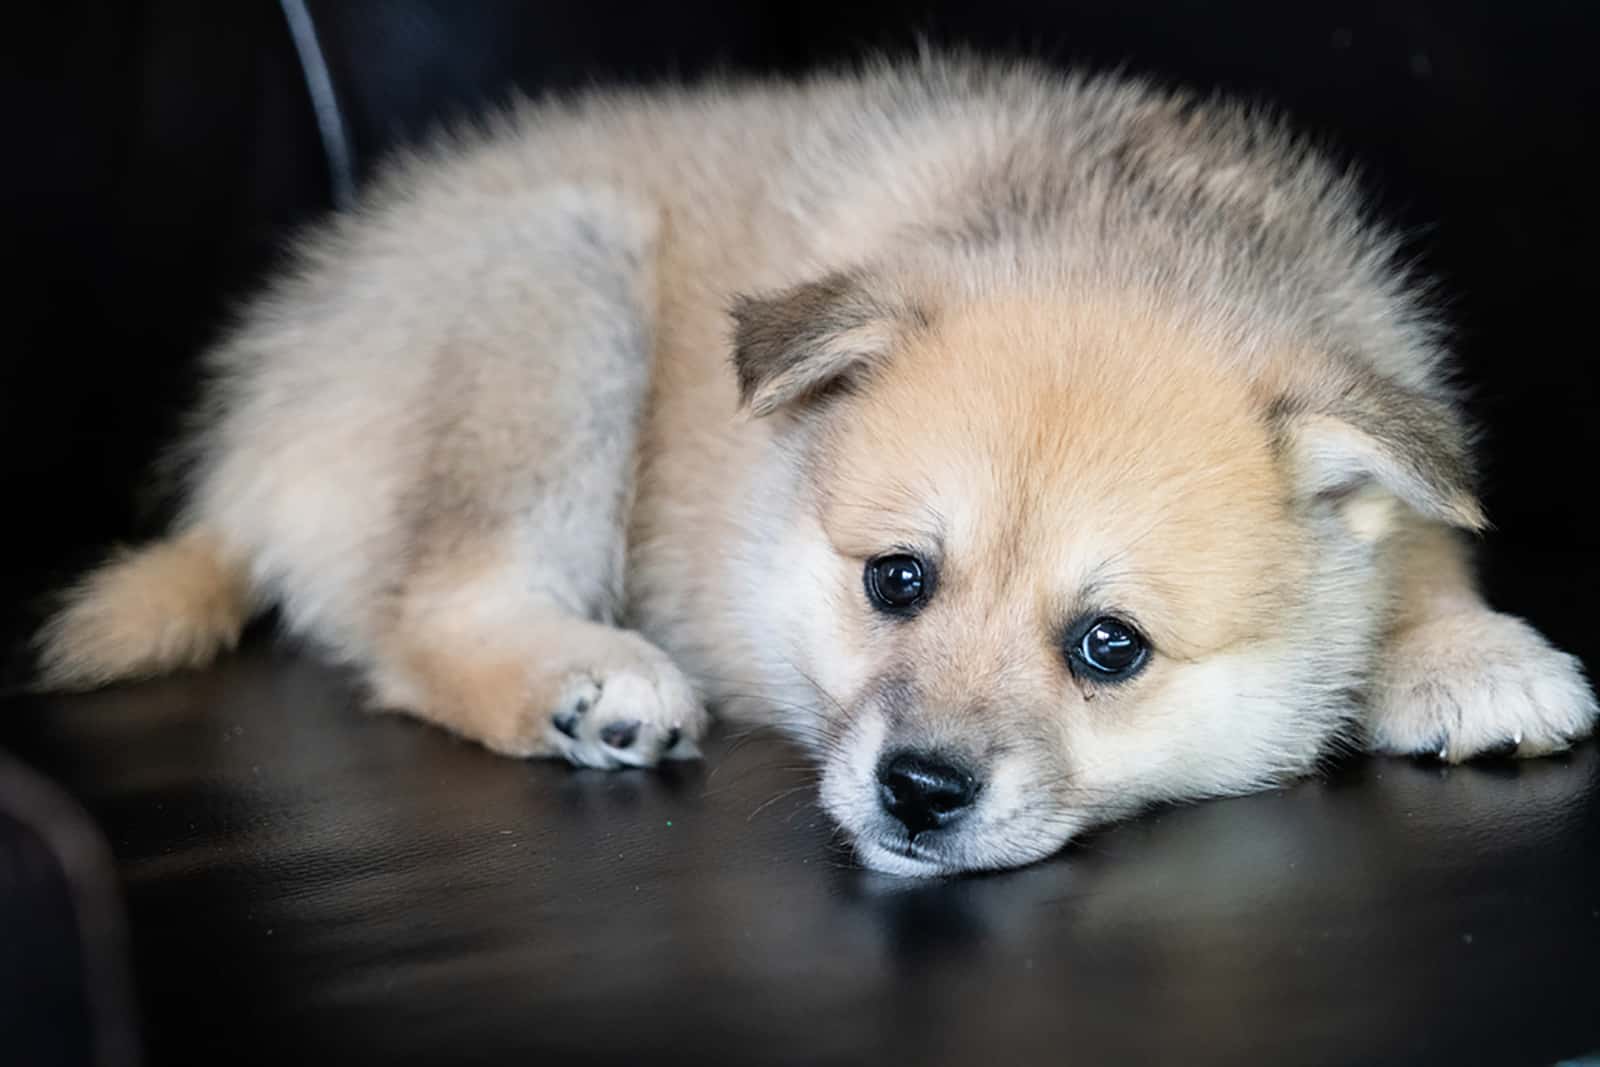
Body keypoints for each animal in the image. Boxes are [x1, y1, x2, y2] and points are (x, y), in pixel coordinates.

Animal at [31, 51, 1593, 876]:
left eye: (1109, 646)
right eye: (895, 578)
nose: (918, 791)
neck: (1124, 231)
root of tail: (258, 428)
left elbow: (1423, 539)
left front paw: (1466, 651)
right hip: (556, 282)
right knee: (426, 617)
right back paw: (584, 681)